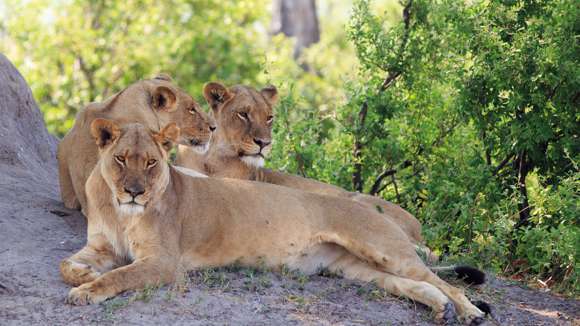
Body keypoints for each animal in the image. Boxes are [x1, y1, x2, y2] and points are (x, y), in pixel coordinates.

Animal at [60, 121, 484, 324]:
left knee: (446, 283)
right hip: (355, 269)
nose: (134, 192)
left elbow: (121, 275)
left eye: (150, 162)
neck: (120, 211)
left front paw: (88, 291)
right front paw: (84, 276)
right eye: (121, 159)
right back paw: (441, 310)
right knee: (416, 285)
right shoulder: (100, 244)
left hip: (383, 248)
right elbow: (68, 264)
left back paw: (470, 313)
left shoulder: (164, 262)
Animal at [174, 82, 424, 250]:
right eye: (243, 114)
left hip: (358, 200)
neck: (212, 157)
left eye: (269, 117)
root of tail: (419, 230)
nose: (264, 143)